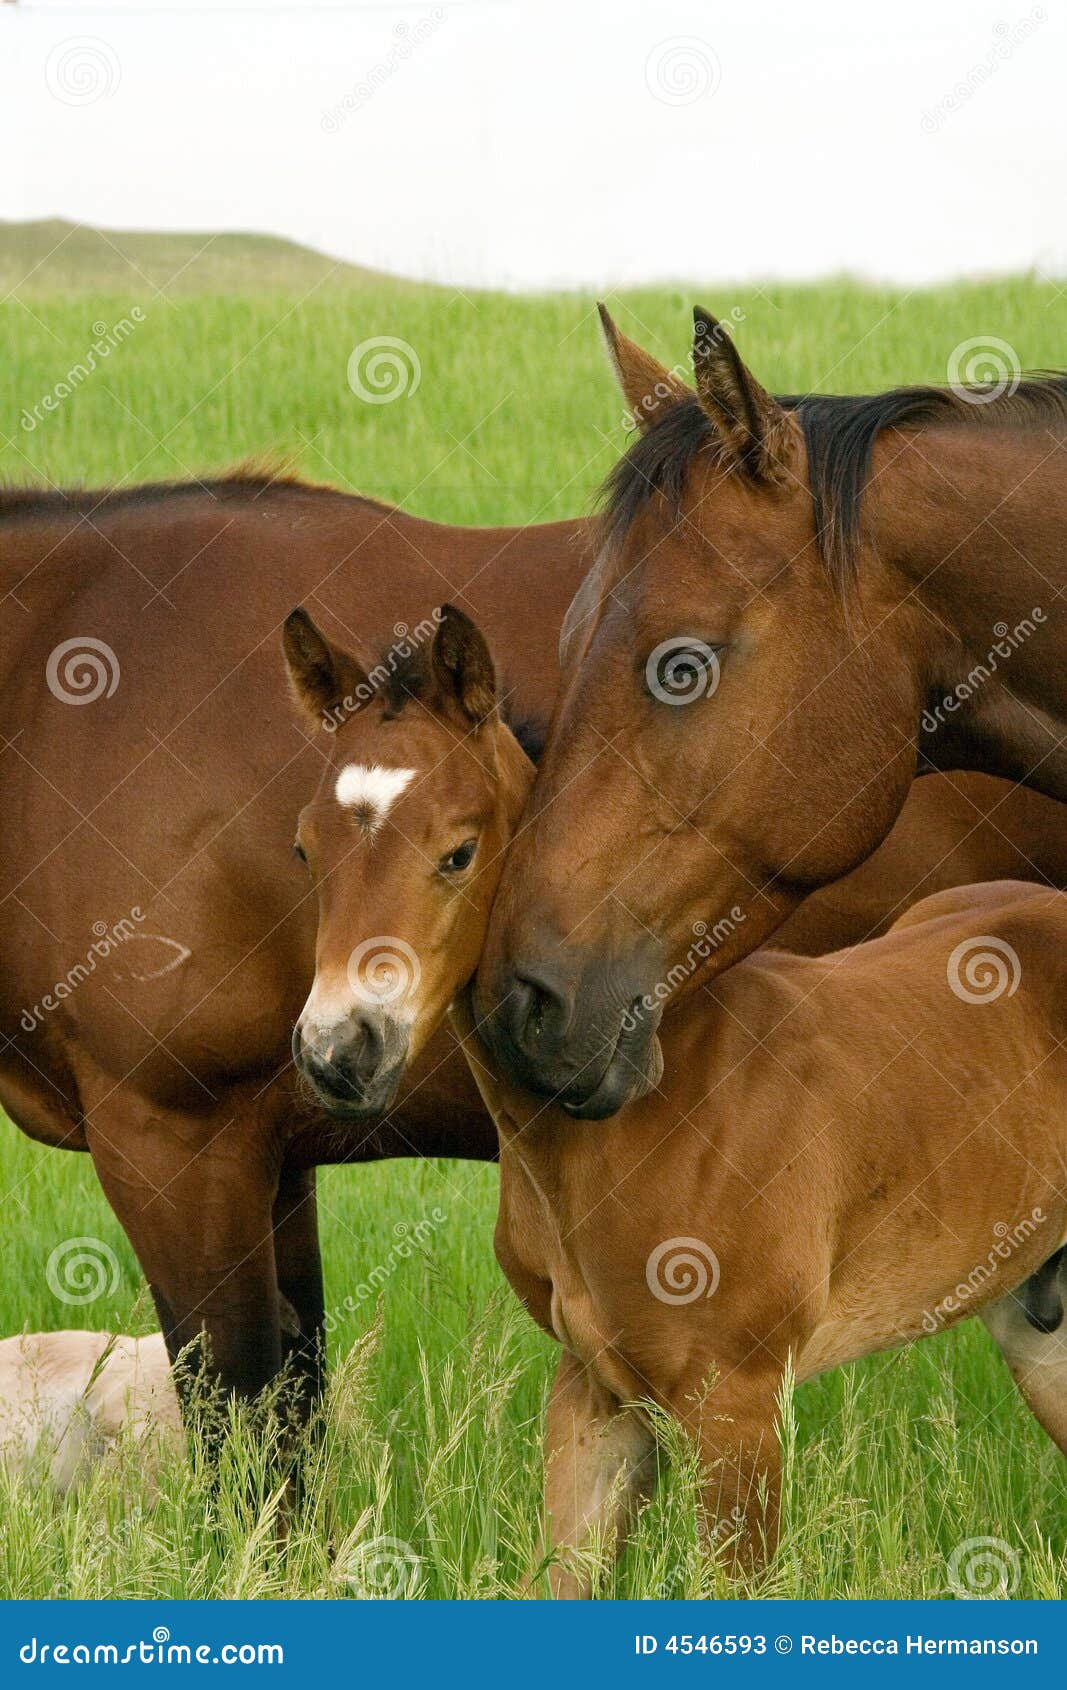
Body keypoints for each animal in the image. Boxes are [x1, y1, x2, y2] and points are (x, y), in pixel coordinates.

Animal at [284, 605, 1067, 1595]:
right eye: (305, 848)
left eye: (457, 851)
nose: (338, 1053)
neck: (636, 1118)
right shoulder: (593, 1394)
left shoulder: (737, 1406)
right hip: (1039, 1321)